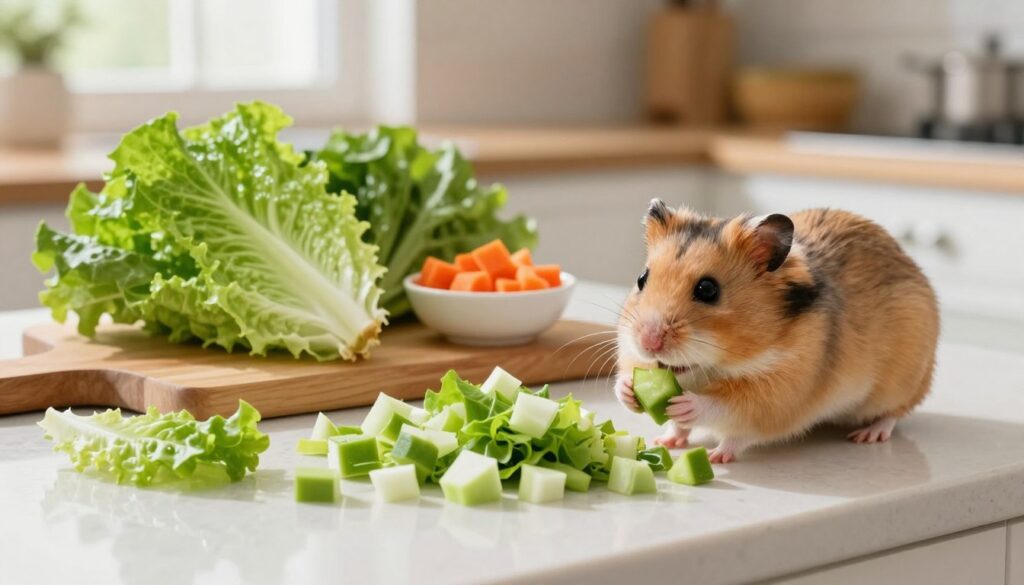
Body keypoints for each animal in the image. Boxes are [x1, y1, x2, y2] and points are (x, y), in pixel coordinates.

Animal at [614, 200, 939, 463]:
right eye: (642, 278)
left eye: (707, 289)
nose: (648, 343)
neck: (713, 369)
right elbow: (664, 414)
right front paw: (630, 394)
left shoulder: (773, 398)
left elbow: (725, 412)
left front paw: (690, 413)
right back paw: (668, 441)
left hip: (903, 382)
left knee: (893, 414)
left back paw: (867, 435)